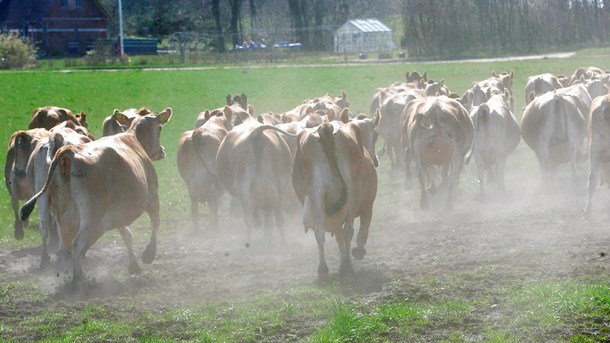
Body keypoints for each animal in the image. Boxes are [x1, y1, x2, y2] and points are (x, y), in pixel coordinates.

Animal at [25, 121, 92, 268]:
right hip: (64, 195)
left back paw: (45, 259)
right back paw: (65, 254)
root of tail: (56, 137)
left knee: (44, 223)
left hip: (42, 192)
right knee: (64, 221)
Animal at [215, 107, 296, 242]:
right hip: (280, 186)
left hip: (244, 188)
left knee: (248, 219)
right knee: (278, 217)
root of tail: (256, 133)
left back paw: (249, 240)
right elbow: (268, 217)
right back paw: (282, 241)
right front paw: (267, 235)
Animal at [292, 116, 378, 282]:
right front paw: (356, 252)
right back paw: (347, 267)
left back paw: (323, 271)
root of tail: (326, 129)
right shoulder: (368, 206)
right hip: (352, 193)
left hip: (316, 191)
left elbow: (338, 237)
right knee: (349, 230)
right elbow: (361, 231)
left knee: (320, 232)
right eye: (376, 136)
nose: (375, 160)